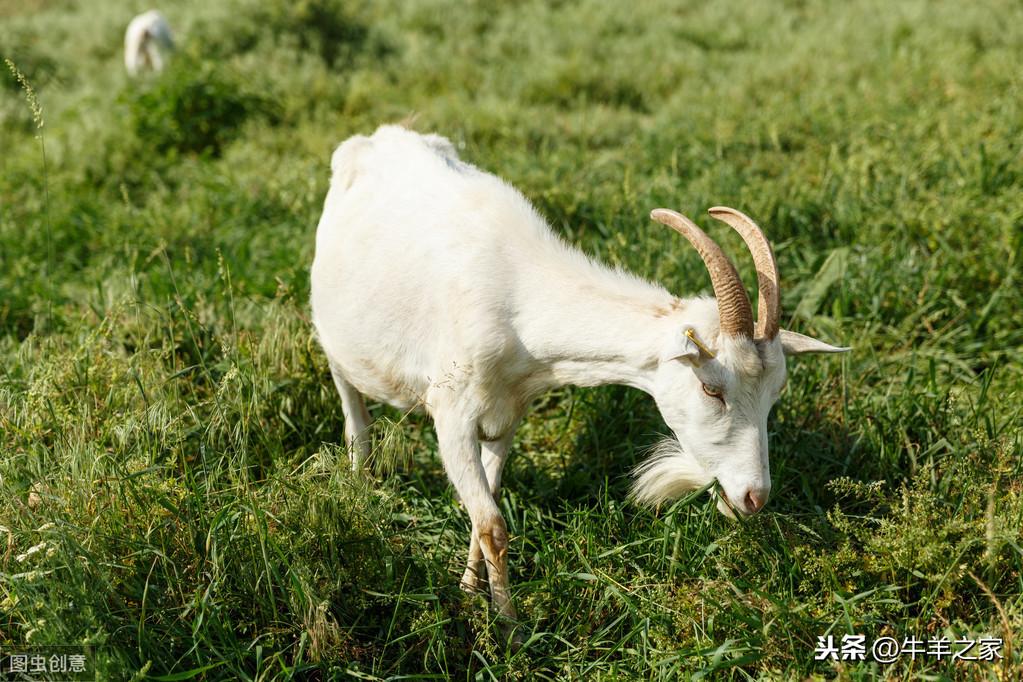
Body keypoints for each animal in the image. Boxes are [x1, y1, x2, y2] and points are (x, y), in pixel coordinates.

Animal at [308, 124, 847, 633]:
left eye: (774, 397)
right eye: (712, 388)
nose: (754, 498)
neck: (519, 302)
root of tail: (376, 138)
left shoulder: (505, 414)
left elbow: (485, 511)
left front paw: (469, 593)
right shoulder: (452, 414)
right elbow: (493, 526)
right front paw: (510, 630)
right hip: (335, 342)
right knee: (355, 419)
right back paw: (358, 490)